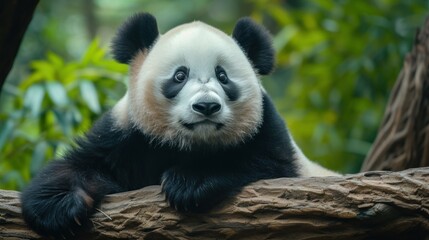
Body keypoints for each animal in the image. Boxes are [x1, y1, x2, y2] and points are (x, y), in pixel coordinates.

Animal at [20, 12, 338, 237]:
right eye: (180, 76)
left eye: (223, 76)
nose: (206, 106)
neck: (190, 144)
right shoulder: (128, 134)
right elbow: (87, 163)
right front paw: (58, 206)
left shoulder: (269, 132)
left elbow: (266, 164)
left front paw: (188, 182)